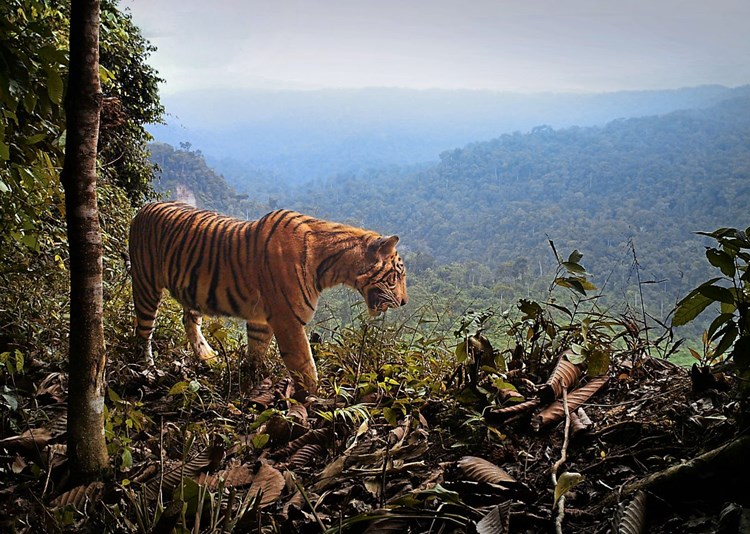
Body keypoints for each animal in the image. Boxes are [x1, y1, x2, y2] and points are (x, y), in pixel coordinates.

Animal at [131, 203, 412, 400]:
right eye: (397, 275)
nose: (404, 302)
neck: (333, 266)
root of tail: (145, 207)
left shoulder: (261, 319)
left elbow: (256, 351)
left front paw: (249, 381)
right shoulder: (288, 320)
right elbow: (305, 366)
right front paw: (315, 399)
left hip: (191, 292)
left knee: (188, 319)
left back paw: (208, 357)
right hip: (146, 286)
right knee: (143, 332)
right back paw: (146, 370)